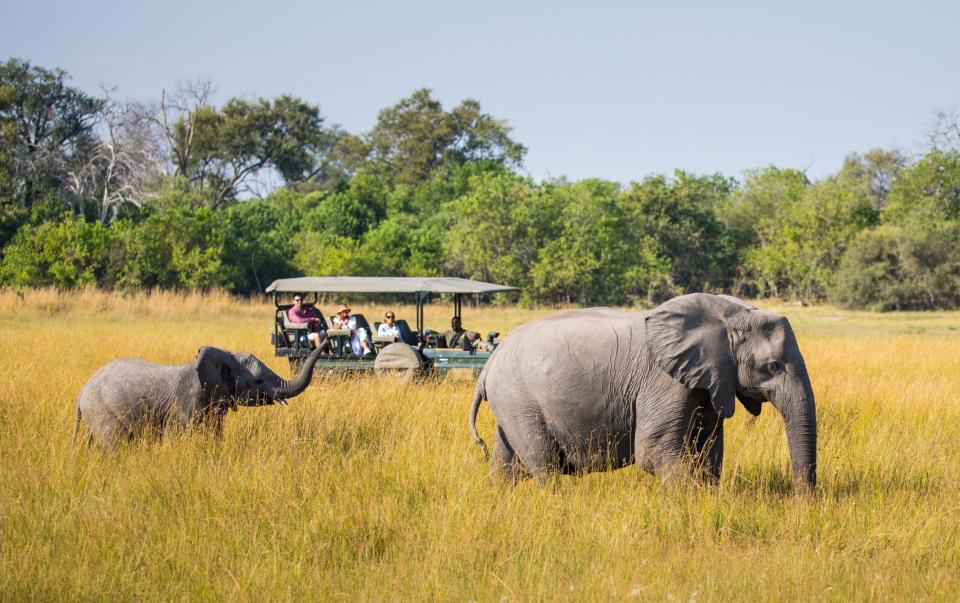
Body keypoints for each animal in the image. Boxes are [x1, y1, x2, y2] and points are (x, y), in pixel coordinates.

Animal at [468, 294, 812, 488]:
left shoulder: (707, 381)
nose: (803, 503)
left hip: (511, 405)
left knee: (506, 463)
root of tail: (488, 366)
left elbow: (708, 450)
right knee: (543, 464)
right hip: (520, 401)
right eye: (773, 366)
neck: (729, 314)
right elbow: (654, 451)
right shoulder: (664, 381)